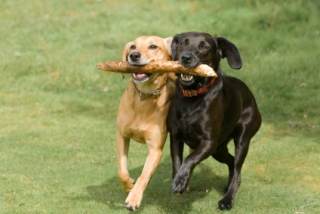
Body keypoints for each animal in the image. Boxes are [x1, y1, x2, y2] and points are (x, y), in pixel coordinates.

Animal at [166, 32, 262, 210]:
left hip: (242, 139)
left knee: (238, 172)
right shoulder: (175, 137)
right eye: (183, 43)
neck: (192, 97)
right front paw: (179, 181)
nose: (186, 57)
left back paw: (227, 200)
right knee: (231, 162)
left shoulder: (209, 141)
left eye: (204, 47)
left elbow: (189, 159)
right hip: (219, 149)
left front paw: (180, 181)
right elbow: (177, 162)